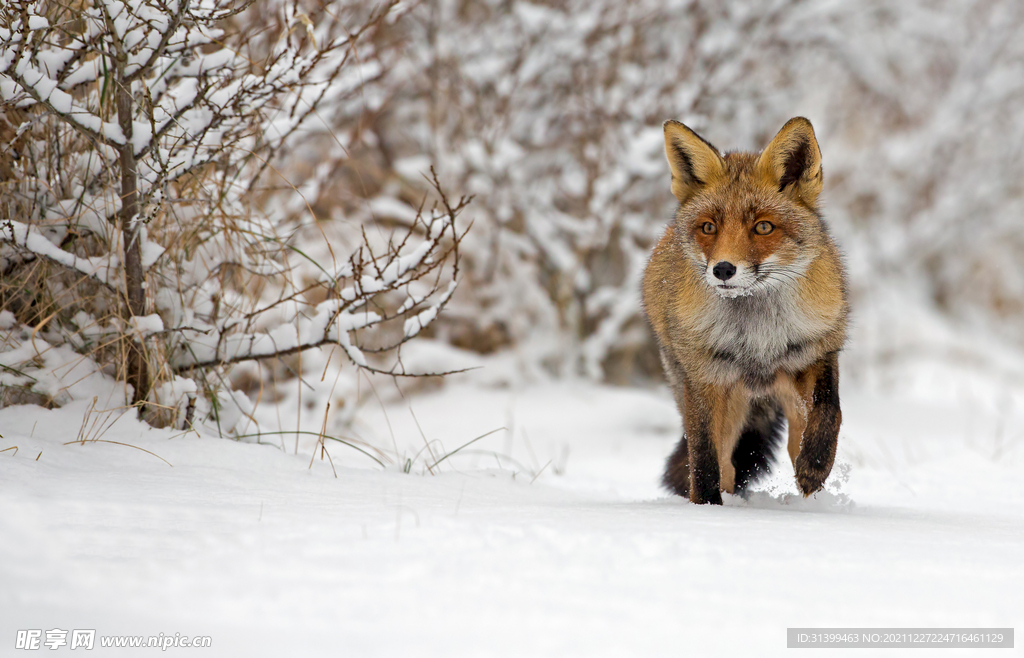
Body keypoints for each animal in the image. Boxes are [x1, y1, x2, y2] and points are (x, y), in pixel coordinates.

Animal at [638, 117, 847, 505]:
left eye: (763, 227)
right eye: (708, 227)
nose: (723, 269)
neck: (756, 337)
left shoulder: (816, 352)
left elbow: (830, 411)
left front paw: (816, 466)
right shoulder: (705, 377)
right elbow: (705, 459)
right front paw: (707, 507)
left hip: (786, 397)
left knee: (794, 442)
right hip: (719, 400)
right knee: (726, 464)